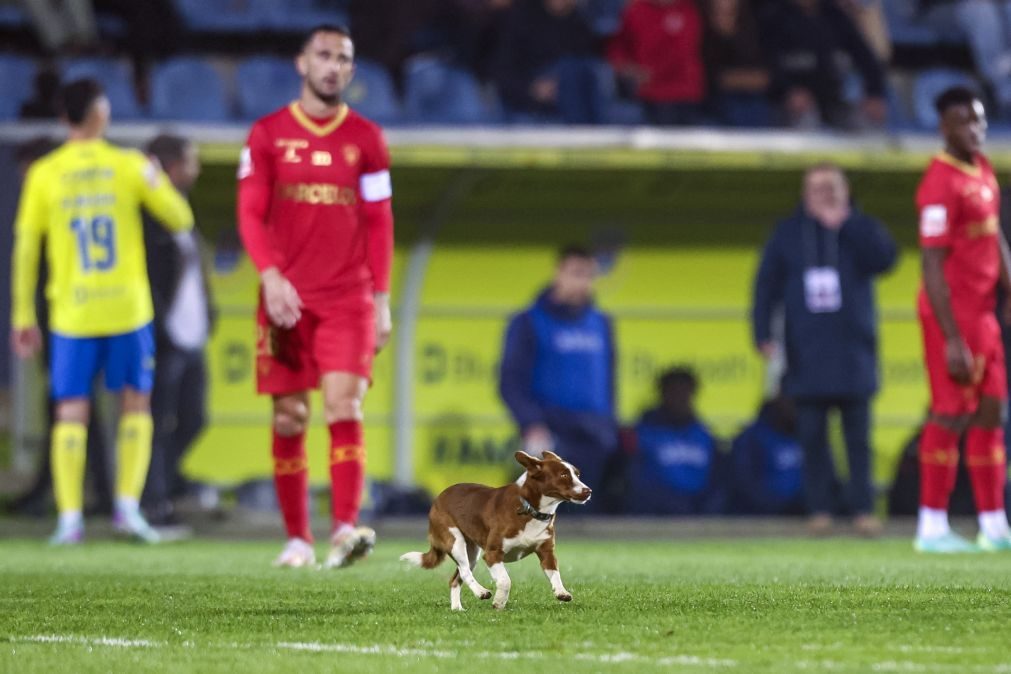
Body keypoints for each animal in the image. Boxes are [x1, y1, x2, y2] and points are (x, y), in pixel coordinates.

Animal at [400, 452, 590, 610]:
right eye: (563, 475)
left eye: (578, 474)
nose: (588, 491)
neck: (530, 508)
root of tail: (438, 499)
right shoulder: (492, 554)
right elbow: (505, 580)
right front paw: (499, 602)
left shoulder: (546, 552)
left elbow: (555, 573)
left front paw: (561, 592)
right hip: (454, 540)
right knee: (465, 571)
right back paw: (481, 592)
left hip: (472, 552)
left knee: (456, 578)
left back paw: (457, 608)